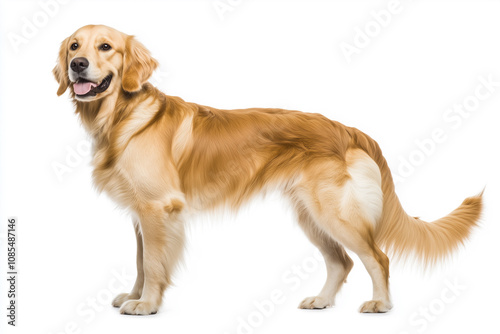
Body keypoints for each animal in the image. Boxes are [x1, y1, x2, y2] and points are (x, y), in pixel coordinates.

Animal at [52, 25, 482, 316]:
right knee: (341, 261)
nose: (77, 65)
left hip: (334, 213)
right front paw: (135, 295)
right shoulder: (142, 214)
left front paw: (147, 304)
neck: (121, 117)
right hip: (310, 215)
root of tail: (349, 129)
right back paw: (322, 300)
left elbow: (155, 263)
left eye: (106, 47)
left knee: (378, 257)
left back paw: (380, 303)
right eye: (74, 45)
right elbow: (142, 261)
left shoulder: (159, 209)